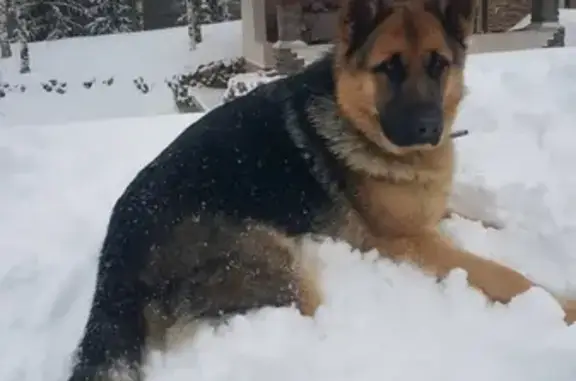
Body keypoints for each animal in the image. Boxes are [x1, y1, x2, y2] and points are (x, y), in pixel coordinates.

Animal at [68, 1, 576, 378]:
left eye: (439, 65)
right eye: (389, 68)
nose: (428, 129)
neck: (355, 120)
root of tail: (117, 248)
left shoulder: (431, 217)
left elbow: (482, 221)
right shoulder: (411, 241)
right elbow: (503, 274)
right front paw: (563, 305)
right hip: (282, 276)